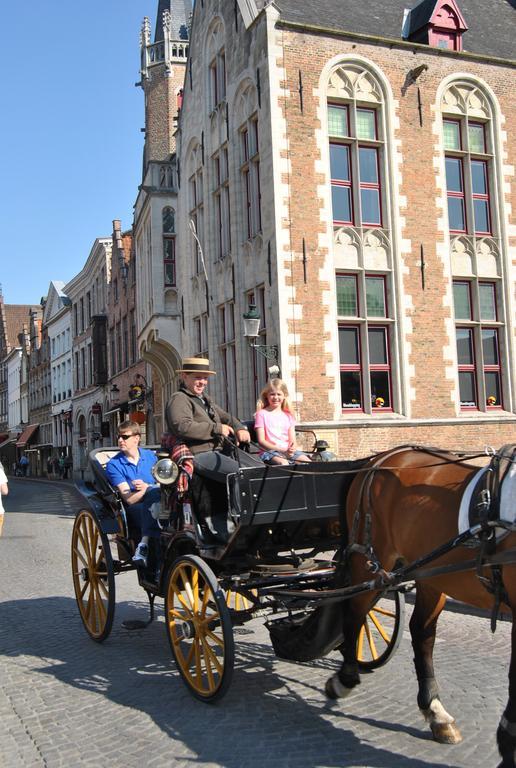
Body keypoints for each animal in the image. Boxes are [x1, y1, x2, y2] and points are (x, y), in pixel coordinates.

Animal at [324, 444, 516, 768]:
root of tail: (379, 458)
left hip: (430, 574)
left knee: (421, 633)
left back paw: (435, 712)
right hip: (369, 559)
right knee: (354, 612)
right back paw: (346, 678)